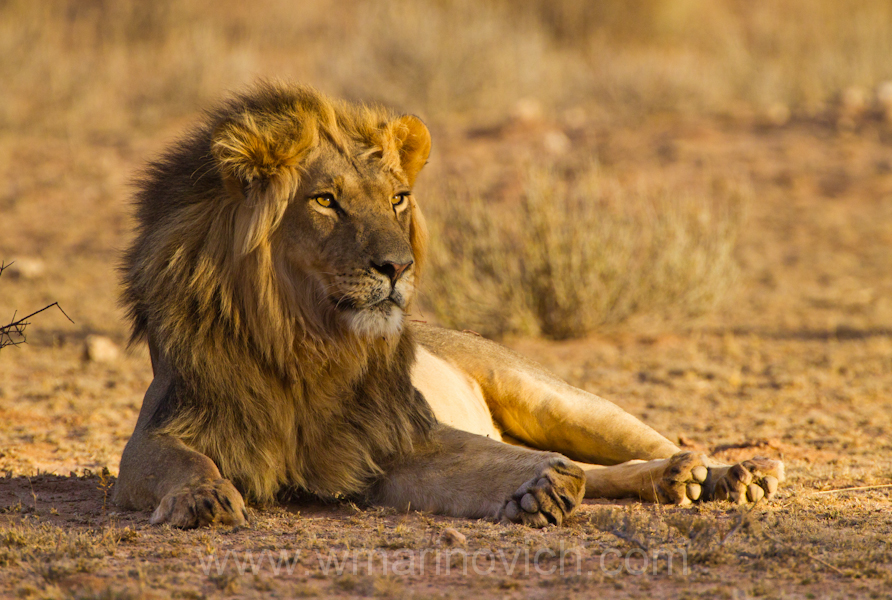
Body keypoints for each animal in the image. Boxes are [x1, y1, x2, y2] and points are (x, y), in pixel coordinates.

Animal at [110, 82, 780, 528]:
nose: (396, 267)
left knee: (641, 440)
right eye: (325, 200)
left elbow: (479, 458)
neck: (305, 343)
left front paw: (539, 487)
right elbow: (176, 462)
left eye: (398, 198)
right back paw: (674, 481)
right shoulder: (161, 428)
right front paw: (202, 497)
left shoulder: (395, 434)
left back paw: (730, 475)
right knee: (601, 469)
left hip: (554, 397)